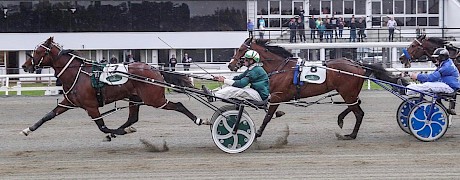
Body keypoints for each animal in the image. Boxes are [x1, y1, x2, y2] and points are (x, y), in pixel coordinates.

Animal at [21, 37, 208, 139]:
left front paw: (118, 132)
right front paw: (27, 130)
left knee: (178, 106)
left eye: (38, 51)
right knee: (132, 118)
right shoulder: (68, 102)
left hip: (154, 99)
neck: (78, 74)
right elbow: (48, 116)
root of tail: (154, 69)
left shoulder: (91, 106)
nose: (24, 65)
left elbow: (102, 126)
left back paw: (199, 119)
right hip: (135, 98)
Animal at [228, 37, 400, 139]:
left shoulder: (277, 96)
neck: (281, 68)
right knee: (356, 106)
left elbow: (268, 116)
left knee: (358, 112)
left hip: (347, 93)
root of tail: (358, 64)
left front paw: (257, 133)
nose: (230, 65)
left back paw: (351, 134)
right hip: (349, 93)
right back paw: (341, 120)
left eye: (241, 49)